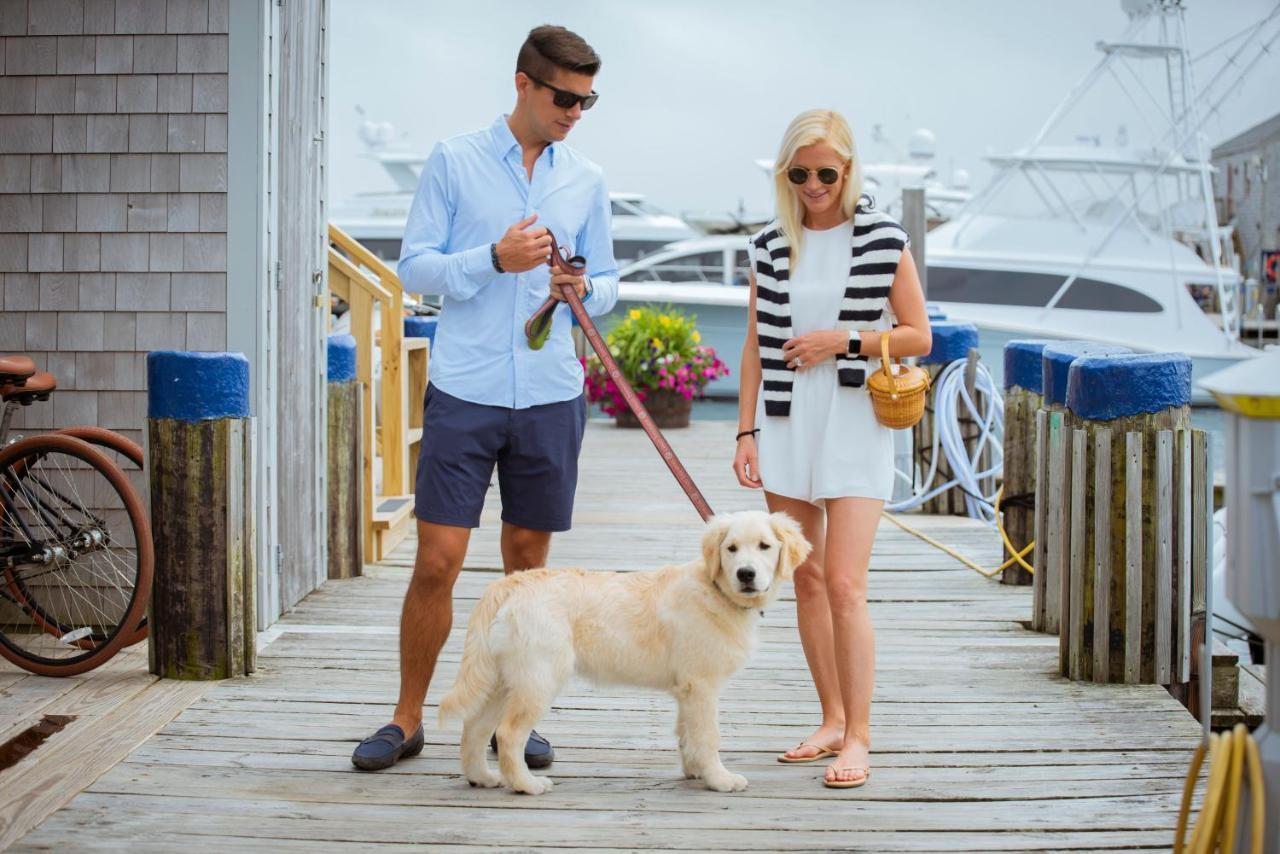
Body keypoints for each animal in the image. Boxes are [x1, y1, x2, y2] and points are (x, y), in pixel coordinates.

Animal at [435, 507, 803, 793]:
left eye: (764, 546)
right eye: (731, 548)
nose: (746, 574)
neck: (717, 590)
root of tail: (509, 583)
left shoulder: (687, 688)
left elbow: (687, 734)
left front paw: (696, 771)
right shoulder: (702, 684)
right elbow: (709, 735)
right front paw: (720, 779)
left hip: (501, 678)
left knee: (475, 728)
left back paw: (482, 778)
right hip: (538, 677)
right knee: (508, 733)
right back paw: (527, 785)